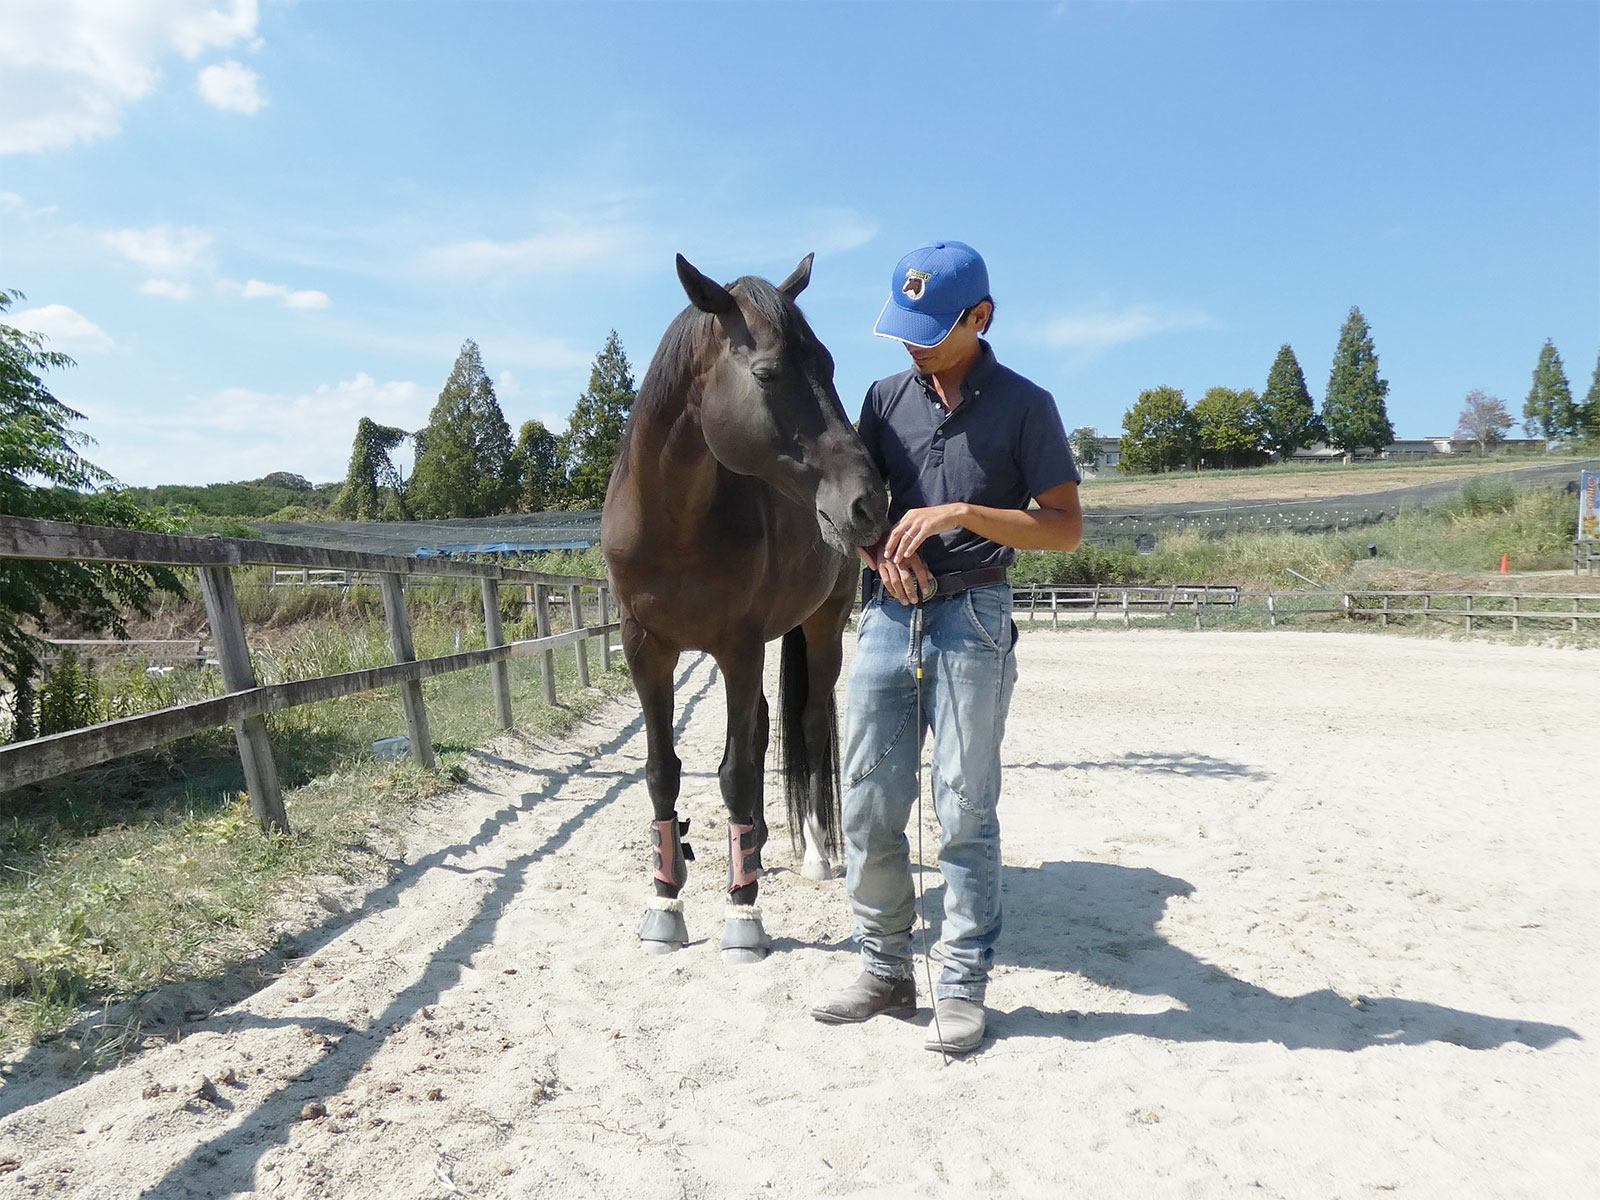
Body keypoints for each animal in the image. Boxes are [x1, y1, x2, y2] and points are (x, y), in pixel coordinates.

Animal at [601, 253, 889, 963]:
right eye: (767, 373)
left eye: (830, 366)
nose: (869, 503)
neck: (672, 527)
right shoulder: (647, 649)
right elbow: (662, 773)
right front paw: (665, 905)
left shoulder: (737, 646)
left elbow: (733, 772)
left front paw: (742, 916)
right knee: (760, 730)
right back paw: (754, 841)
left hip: (821, 627)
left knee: (807, 728)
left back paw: (813, 854)